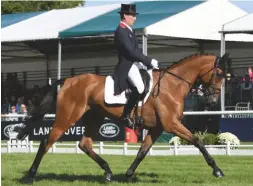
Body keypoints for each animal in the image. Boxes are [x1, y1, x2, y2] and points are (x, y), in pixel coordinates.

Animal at [16, 53, 228, 184]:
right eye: (218, 74)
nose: (212, 100)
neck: (172, 84)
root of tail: (68, 80)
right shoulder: (172, 124)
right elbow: (198, 142)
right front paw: (217, 170)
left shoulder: (158, 128)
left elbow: (142, 151)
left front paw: (128, 174)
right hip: (66, 118)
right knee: (46, 142)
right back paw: (30, 176)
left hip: (95, 117)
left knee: (85, 144)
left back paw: (108, 172)